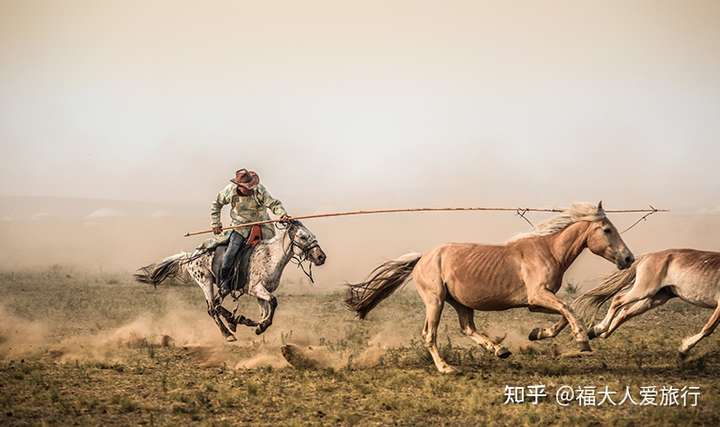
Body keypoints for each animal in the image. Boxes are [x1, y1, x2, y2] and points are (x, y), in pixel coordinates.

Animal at [135, 222, 326, 342]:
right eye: (303, 237)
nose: (321, 257)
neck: (270, 256)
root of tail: (190, 256)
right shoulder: (255, 288)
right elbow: (273, 302)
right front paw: (259, 326)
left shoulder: (260, 293)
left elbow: (265, 311)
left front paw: (258, 325)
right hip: (206, 282)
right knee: (212, 308)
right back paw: (228, 332)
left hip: (220, 287)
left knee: (216, 306)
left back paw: (235, 321)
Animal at [346, 202, 632, 372]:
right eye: (607, 229)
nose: (628, 258)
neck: (547, 250)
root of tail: (422, 258)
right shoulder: (538, 295)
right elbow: (568, 309)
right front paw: (583, 341)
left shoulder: (537, 301)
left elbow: (565, 312)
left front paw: (538, 333)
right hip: (435, 300)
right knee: (429, 334)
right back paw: (446, 368)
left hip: (461, 303)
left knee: (467, 328)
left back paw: (500, 350)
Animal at [572, 249, 720, 360]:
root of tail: (646, 257)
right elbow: (708, 328)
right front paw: (683, 349)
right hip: (644, 290)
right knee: (618, 300)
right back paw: (600, 328)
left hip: (656, 297)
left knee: (625, 312)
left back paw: (597, 332)